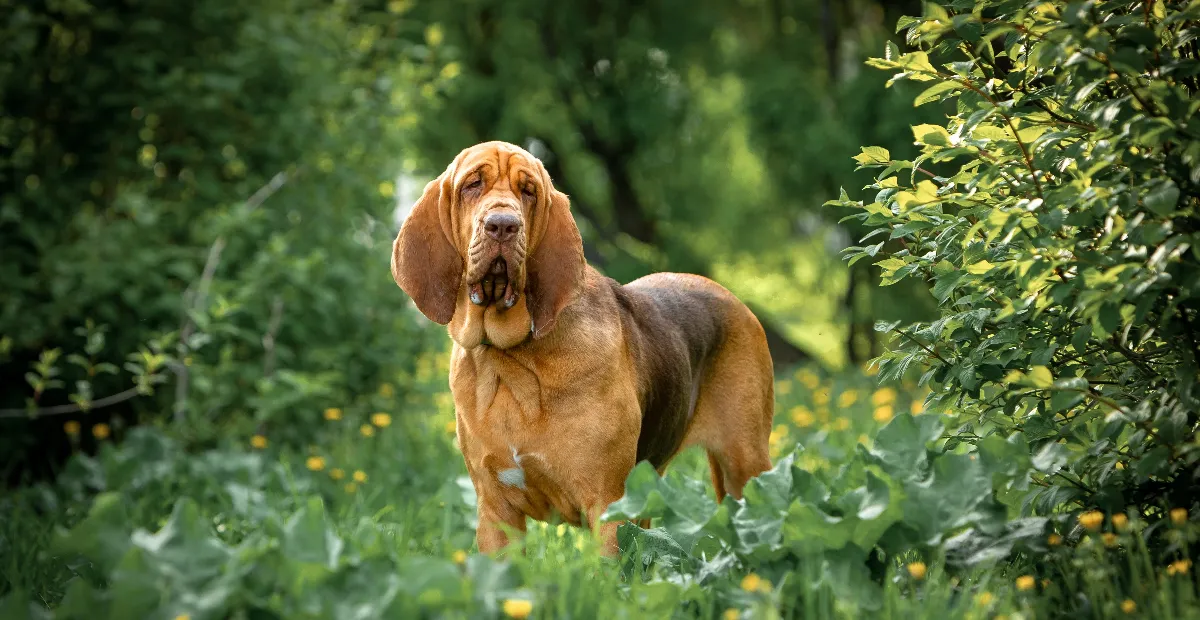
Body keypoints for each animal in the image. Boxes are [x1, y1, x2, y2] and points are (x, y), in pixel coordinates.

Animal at [388, 141, 772, 556]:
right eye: (472, 185)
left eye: (529, 192)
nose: (503, 225)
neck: (512, 360)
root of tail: (733, 298)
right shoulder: (496, 512)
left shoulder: (607, 506)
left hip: (745, 466)